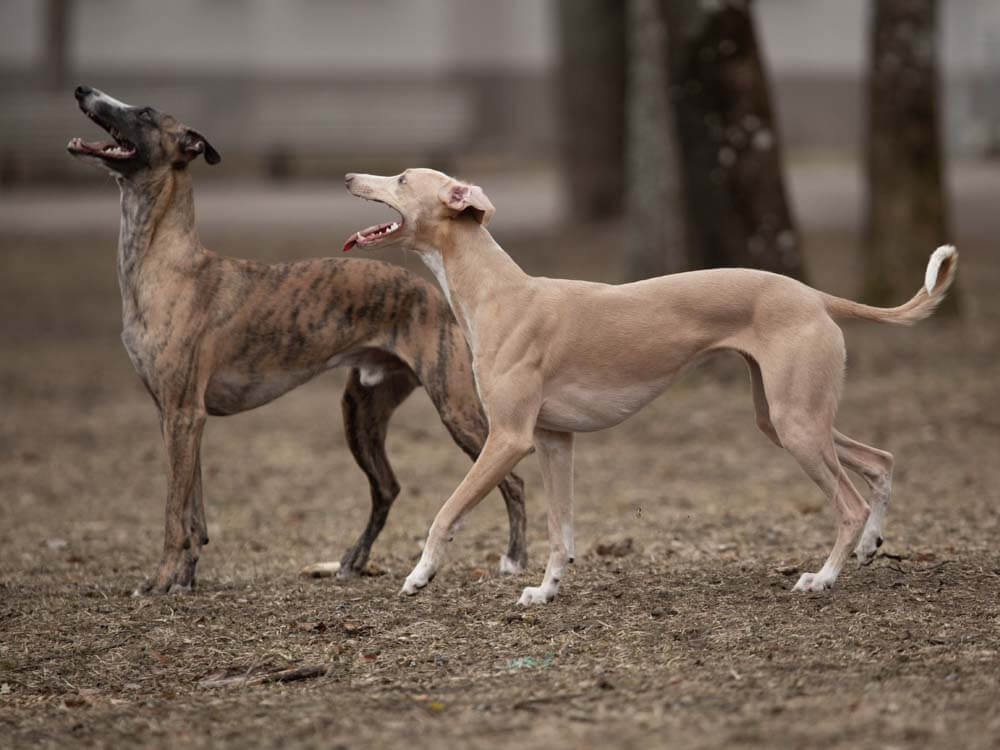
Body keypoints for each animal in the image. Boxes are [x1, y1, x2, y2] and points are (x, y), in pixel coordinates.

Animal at [66, 86, 528, 592]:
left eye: (145, 113)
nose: (84, 90)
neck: (165, 264)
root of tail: (433, 292)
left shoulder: (184, 413)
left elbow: (173, 513)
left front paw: (161, 582)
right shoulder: (178, 415)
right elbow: (193, 513)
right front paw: (185, 577)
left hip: (454, 407)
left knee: (512, 480)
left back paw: (514, 560)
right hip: (361, 411)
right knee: (387, 486)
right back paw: (352, 560)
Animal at [346, 169, 960, 604]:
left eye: (401, 179)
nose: (350, 178)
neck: (500, 293)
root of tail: (814, 295)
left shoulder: (508, 439)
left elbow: (445, 512)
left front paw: (419, 575)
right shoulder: (551, 441)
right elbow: (560, 530)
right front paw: (546, 590)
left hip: (798, 424)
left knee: (849, 502)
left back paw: (823, 577)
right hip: (787, 418)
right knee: (880, 460)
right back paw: (869, 547)